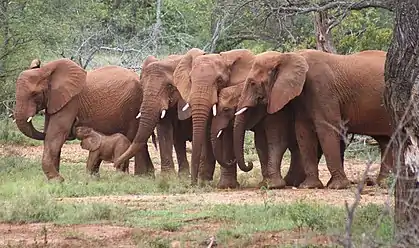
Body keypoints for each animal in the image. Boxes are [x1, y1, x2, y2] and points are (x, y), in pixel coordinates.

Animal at [14, 58, 156, 181]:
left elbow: (56, 135)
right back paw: (147, 176)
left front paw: (57, 180)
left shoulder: (71, 102)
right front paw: (53, 180)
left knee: (134, 137)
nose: (77, 120)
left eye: (35, 94)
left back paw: (140, 178)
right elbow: (51, 134)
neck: (46, 72)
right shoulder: (54, 101)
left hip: (133, 106)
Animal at [174, 48, 256, 185]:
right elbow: (205, 130)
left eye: (219, 81)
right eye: (190, 80)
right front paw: (204, 182)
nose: (192, 183)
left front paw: (224, 185)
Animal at [236, 48, 394, 189]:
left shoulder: (322, 88)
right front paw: (309, 186)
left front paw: (337, 187)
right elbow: (303, 131)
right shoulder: (301, 97)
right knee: (385, 140)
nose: (249, 164)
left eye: (252, 83)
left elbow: (326, 129)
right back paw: (383, 183)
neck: (288, 56)